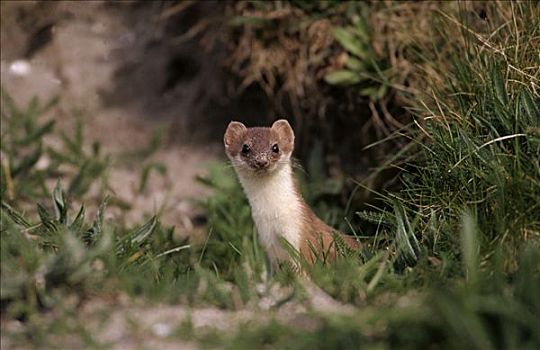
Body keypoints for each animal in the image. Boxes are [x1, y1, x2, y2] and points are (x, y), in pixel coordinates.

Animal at [224, 119, 358, 266]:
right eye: (245, 147)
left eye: (275, 147)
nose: (261, 161)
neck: (272, 216)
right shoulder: (268, 242)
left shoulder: (299, 235)